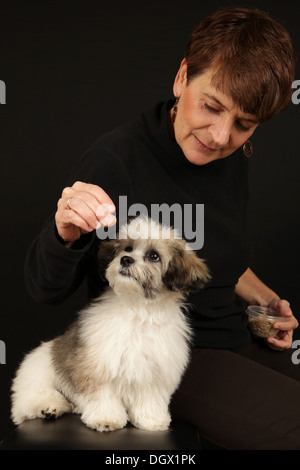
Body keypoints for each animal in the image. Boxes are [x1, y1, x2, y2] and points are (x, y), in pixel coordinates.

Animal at [11, 217, 209, 434]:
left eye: (153, 256)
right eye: (127, 249)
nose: (126, 260)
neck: (138, 308)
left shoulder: (156, 372)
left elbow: (150, 398)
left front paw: (152, 420)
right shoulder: (97, 367)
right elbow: (102, 395)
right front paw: (106, 418)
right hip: (38, 375)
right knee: (27, 401)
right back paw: (48, 407)